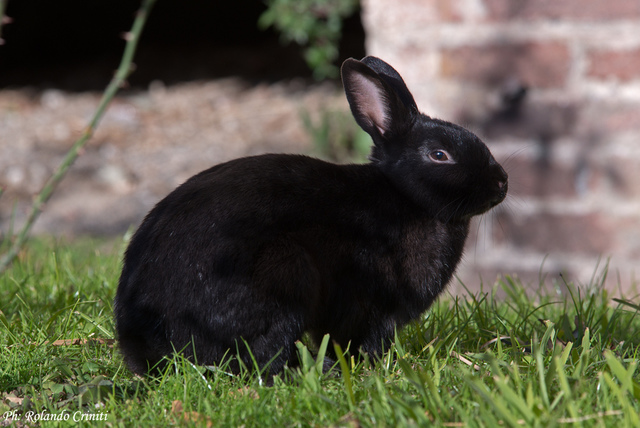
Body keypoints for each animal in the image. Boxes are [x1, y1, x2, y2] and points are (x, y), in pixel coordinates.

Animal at [114, 56, 508, 376]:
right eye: (439, 155)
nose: (502, 181)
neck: (405, 196)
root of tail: (146, 337)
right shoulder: (369, 304)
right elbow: (361, 337)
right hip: (286, 275)